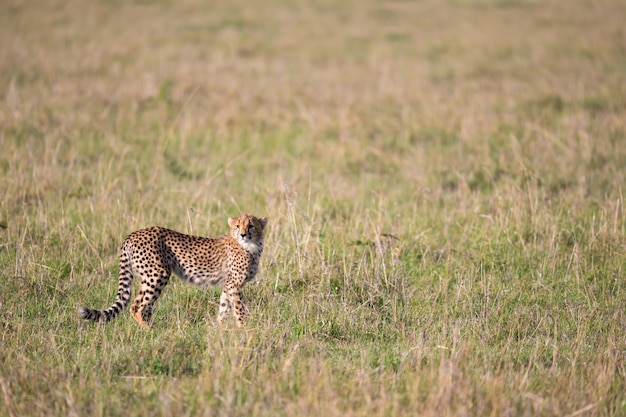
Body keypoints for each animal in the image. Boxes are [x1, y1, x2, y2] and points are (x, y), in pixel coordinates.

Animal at [78, 213, 266, 326]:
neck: (251, 247)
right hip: (158, 274)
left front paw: (218, 328)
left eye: (251, 226)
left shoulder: (228, 284)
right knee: (139, 307)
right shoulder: (234, 284)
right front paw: (244, 328)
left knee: (137, 304)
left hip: (146, 276)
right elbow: (239, 307)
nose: (243, 234)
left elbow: (224, 307)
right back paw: (149, 330)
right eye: (237, 226)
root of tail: (133, 234)